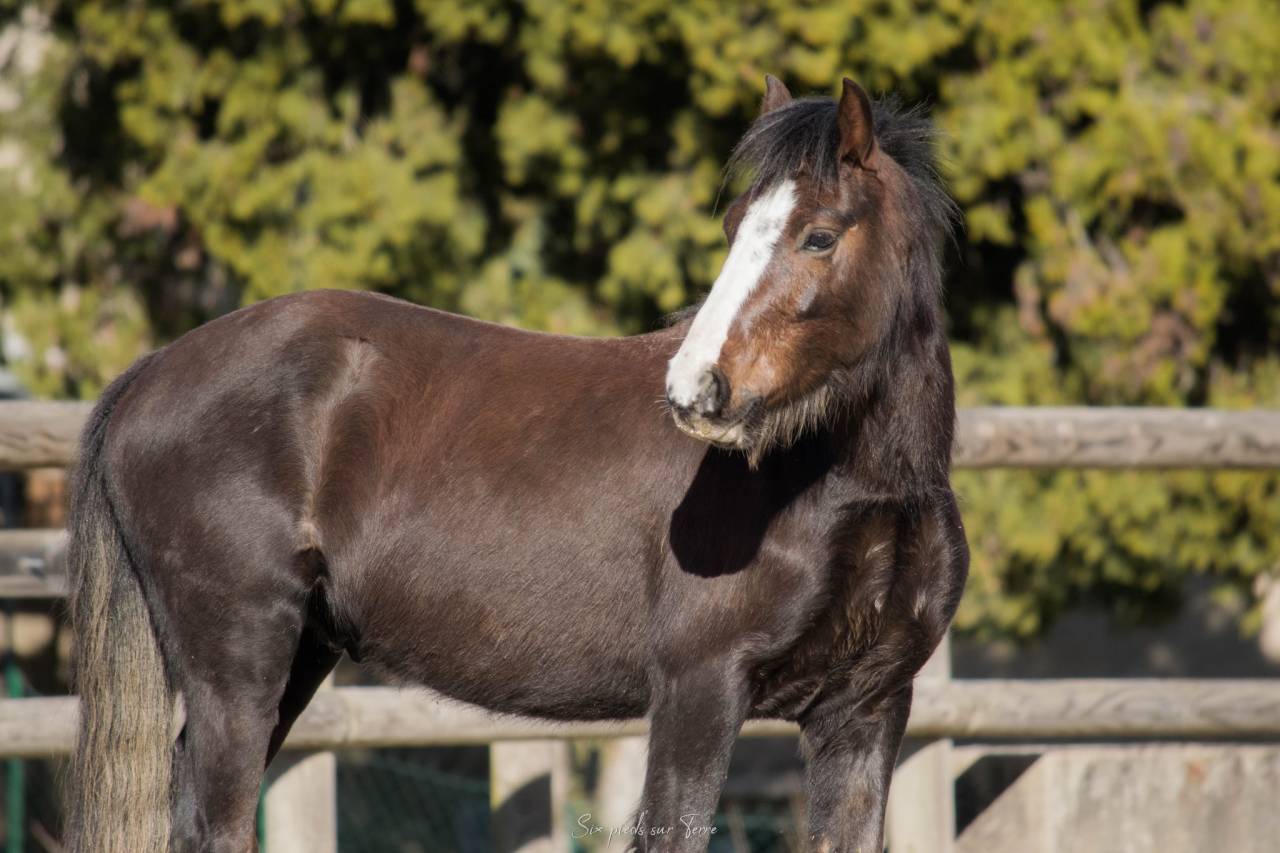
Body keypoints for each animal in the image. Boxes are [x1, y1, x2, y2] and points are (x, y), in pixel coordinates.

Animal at [64, 75, 967, 852]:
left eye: (819, 235)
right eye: (734, 226)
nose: (695, 387)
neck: (847, 494)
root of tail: (151, 372)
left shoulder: (866, 712)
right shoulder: (699, 691)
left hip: (296, 654)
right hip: (239, 663)